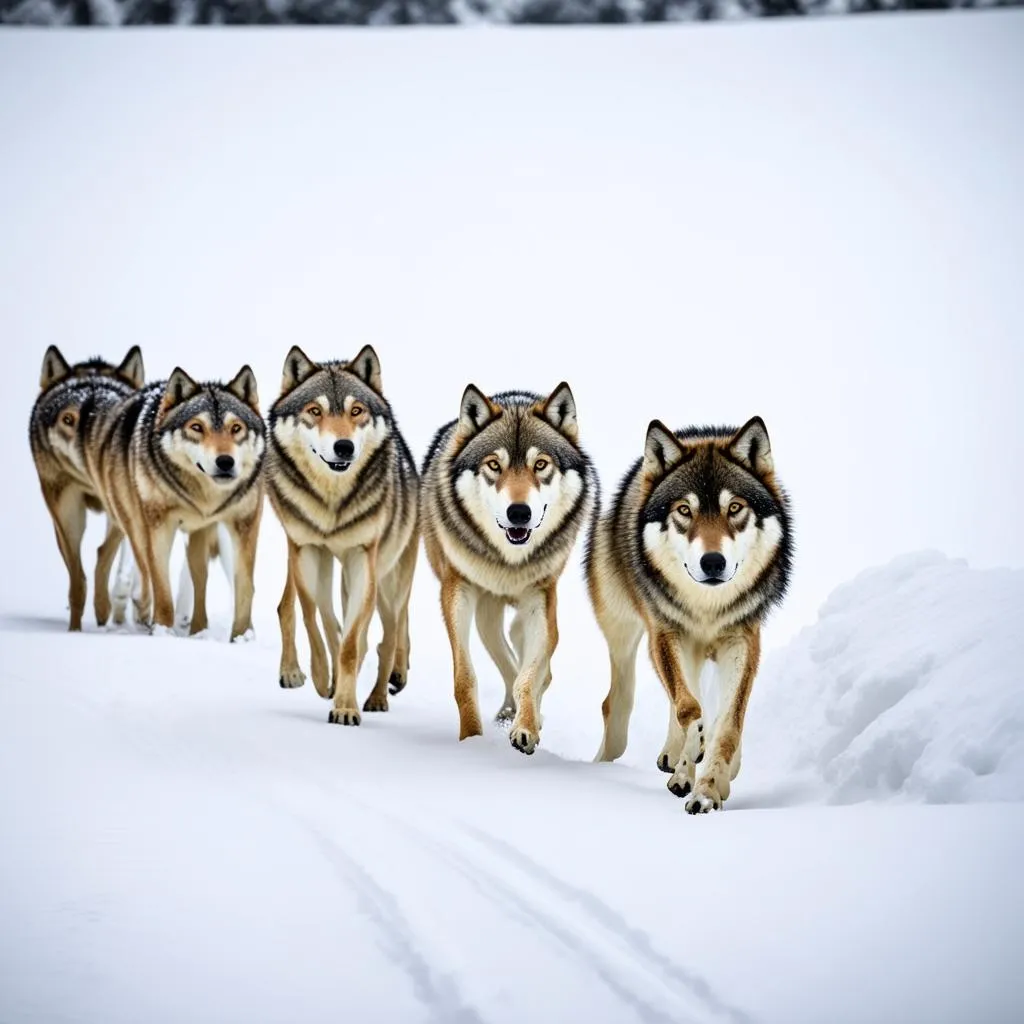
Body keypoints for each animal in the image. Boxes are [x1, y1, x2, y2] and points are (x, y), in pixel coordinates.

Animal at [28, 348, 146, 626]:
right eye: (68, 419)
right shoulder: (64, 509)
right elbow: (77, 579)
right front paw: (75, 629)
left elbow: (103, 555)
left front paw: (103, 609)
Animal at [83, 364, 266, 634]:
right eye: (197, 427)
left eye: (236, 428)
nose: (225, 462)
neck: (204, 497)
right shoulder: (159, 526)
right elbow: (161, 586)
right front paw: (162, 630)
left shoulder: (245, 524)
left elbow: (245, 589)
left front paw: (243, 636)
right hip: (137, 525)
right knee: (137, 567)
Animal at [270, 342, 421, 720]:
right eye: (315, 411)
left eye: (356, 411)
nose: (344, 447)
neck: (332, 505)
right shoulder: (308, 550)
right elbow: (315, 620)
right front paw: (325, 679)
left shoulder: (361, 557)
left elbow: (352, 643)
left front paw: (346, 708)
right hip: (333, 571)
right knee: (317, 615)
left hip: (389, 578)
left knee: (390, 633)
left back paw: (381, 693)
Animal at [419, 382, 598, 753]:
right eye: (493, 465)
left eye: (541, 464)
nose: (519, 513)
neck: (509, 560)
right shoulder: (457, 591)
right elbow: (466, 677)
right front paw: (471, 739)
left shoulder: (539, 600)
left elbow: (528, 678)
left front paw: (526, 729)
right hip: (486, 614)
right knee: (505, 659)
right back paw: (504, 714)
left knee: (533, 669)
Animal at [585, 417, 790, 815]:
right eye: (684, 510)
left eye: (735, 507)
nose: (713, 562)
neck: (706, 606)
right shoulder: (667, 633)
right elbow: (687, 706)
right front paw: (693, 751)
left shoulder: (742, 640)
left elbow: (728, 724)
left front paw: (709, 789)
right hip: (626, 633)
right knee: (619, 699)